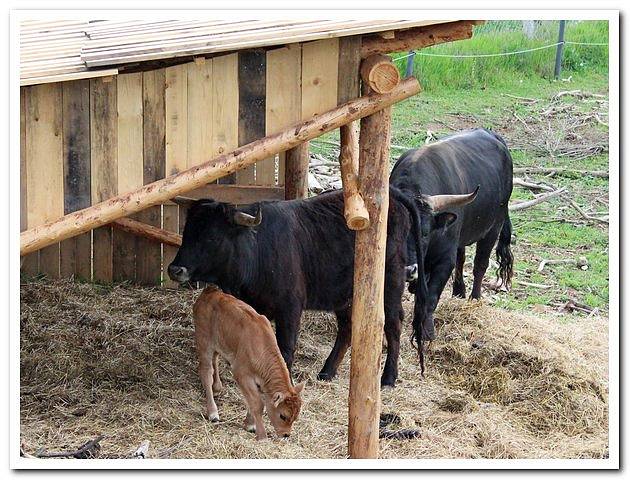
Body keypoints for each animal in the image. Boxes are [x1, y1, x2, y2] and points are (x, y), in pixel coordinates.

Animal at [194, 284, 304, 438]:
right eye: (283, 415)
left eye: (296, 416)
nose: (286, 435)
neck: (261, 345)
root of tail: (209, 291)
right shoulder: (242, 374)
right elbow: (257, 403)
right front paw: (258, 431)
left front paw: (250, 424)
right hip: (204, 342)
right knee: (206, 372)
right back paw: (213, 412)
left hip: (218, 343)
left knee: (215, 359)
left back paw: (217, 387)